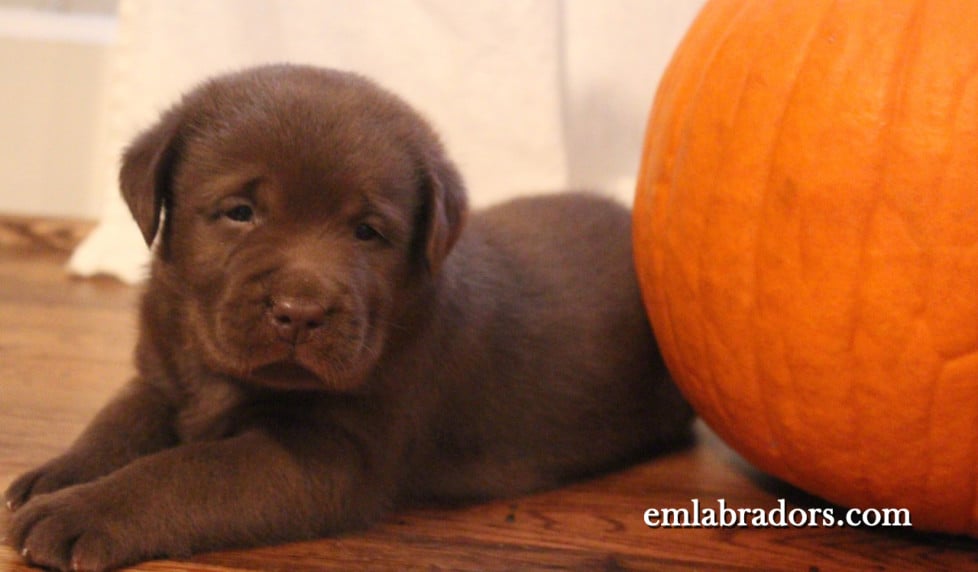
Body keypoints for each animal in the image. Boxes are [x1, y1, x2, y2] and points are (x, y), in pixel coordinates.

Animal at [3, 65, 692, 568]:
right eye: (239, 213)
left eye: (368, 232)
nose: (299, 313)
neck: (218, 371)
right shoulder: (158, 376)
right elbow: (115, 424)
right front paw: (54, 476)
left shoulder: (332, 453)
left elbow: (190, 469)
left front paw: (83, 511)